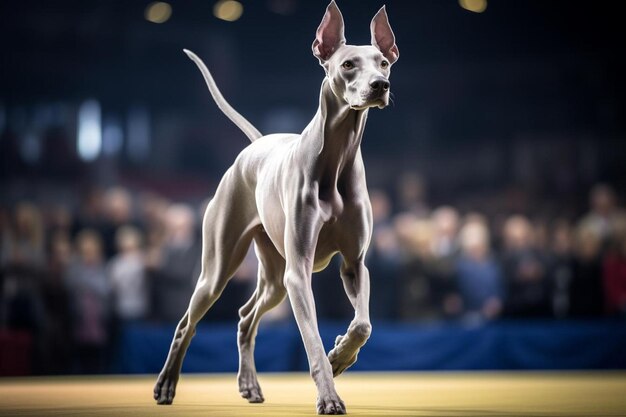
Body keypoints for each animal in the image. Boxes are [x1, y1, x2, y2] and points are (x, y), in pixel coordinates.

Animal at [152, 1, 398, 412]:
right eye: (349, 64)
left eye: (383, 62)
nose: (380, 85)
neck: (336, 159)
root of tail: (256, 144)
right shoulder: (298, 273)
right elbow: (312, 343)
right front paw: (329, 394)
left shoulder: (354, 264)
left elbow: (363, 324)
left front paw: (341, 355)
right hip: (220, 269)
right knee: (188, 323)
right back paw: (166, 385)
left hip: (273, 275)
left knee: (244, 316)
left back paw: (249, 384)